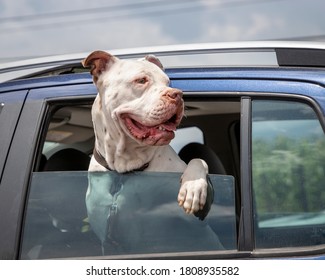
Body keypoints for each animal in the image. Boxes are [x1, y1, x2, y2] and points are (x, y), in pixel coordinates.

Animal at [82, 50, 211, 217]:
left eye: (168, 83)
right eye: (142, 80)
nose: (178, 94)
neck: (127, 164)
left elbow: (198, 160)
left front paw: (192, 187)